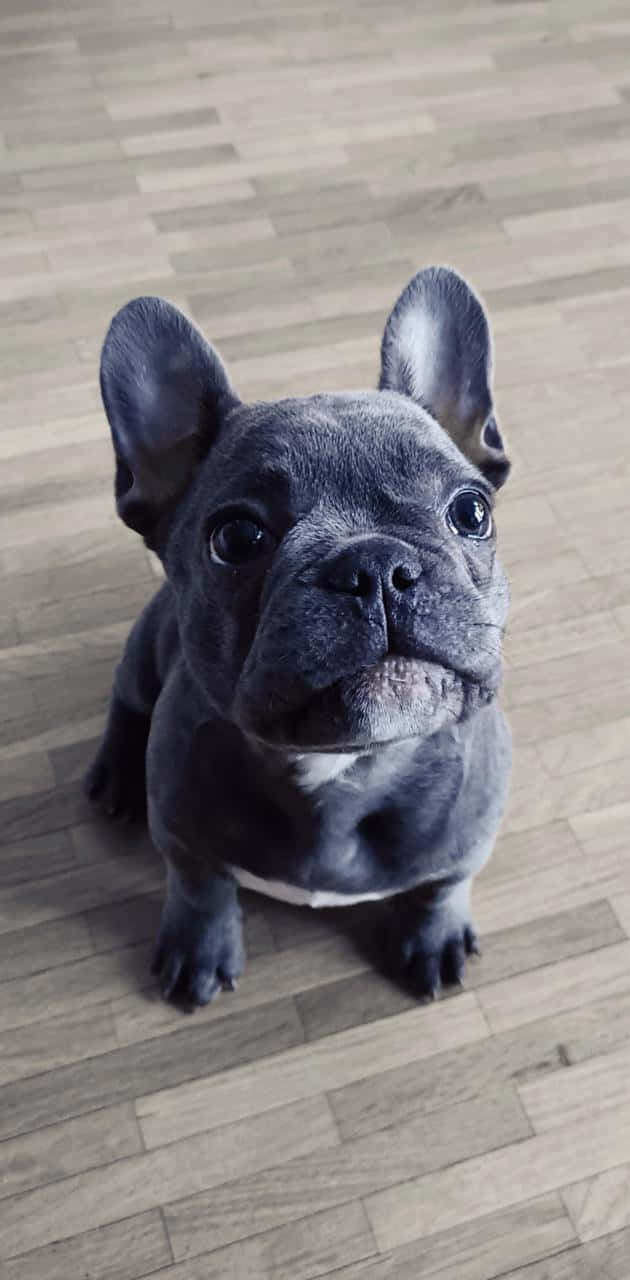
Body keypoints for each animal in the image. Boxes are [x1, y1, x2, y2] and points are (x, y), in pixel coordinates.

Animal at [87, 267, 512, 1008]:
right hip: (147, 647)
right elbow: (201, 890)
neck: (344, 768)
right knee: (125, 696)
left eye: (471, 511)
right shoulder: (182, 833)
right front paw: (200, 951)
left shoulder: (471, 832)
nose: (376, 566)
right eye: (236, 537)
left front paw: (435, 937)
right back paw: (114, 772)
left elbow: (443, 884)